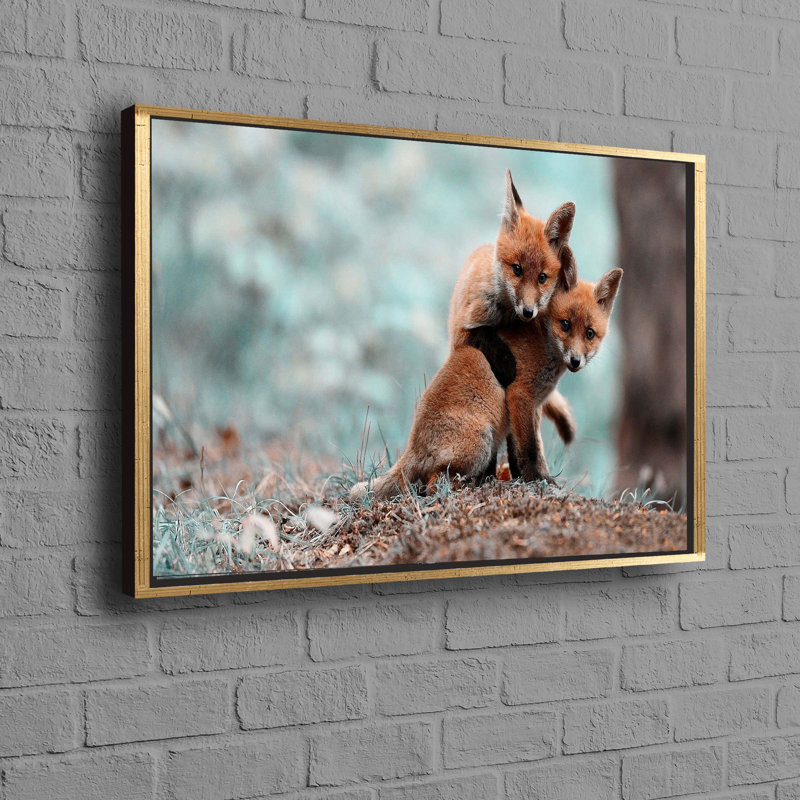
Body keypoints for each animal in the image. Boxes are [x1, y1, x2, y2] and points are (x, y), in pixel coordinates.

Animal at [349, 263, 623, 501]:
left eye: (589, 333)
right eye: (565, 325)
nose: (575, 361)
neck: (543, 343)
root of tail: (412, 447)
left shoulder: (530, 407)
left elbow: (529, 451)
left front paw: (538, 477)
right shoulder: (520, 396)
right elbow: (529, 450)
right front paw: (535, 480)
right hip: (481, 443)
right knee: (432, 485)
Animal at [448, 169, 578, 447]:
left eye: (542, 277)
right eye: (517, 269)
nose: (529, 312)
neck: (506, 316)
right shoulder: (463, 331)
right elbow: (485, 336)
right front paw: (508, 364)